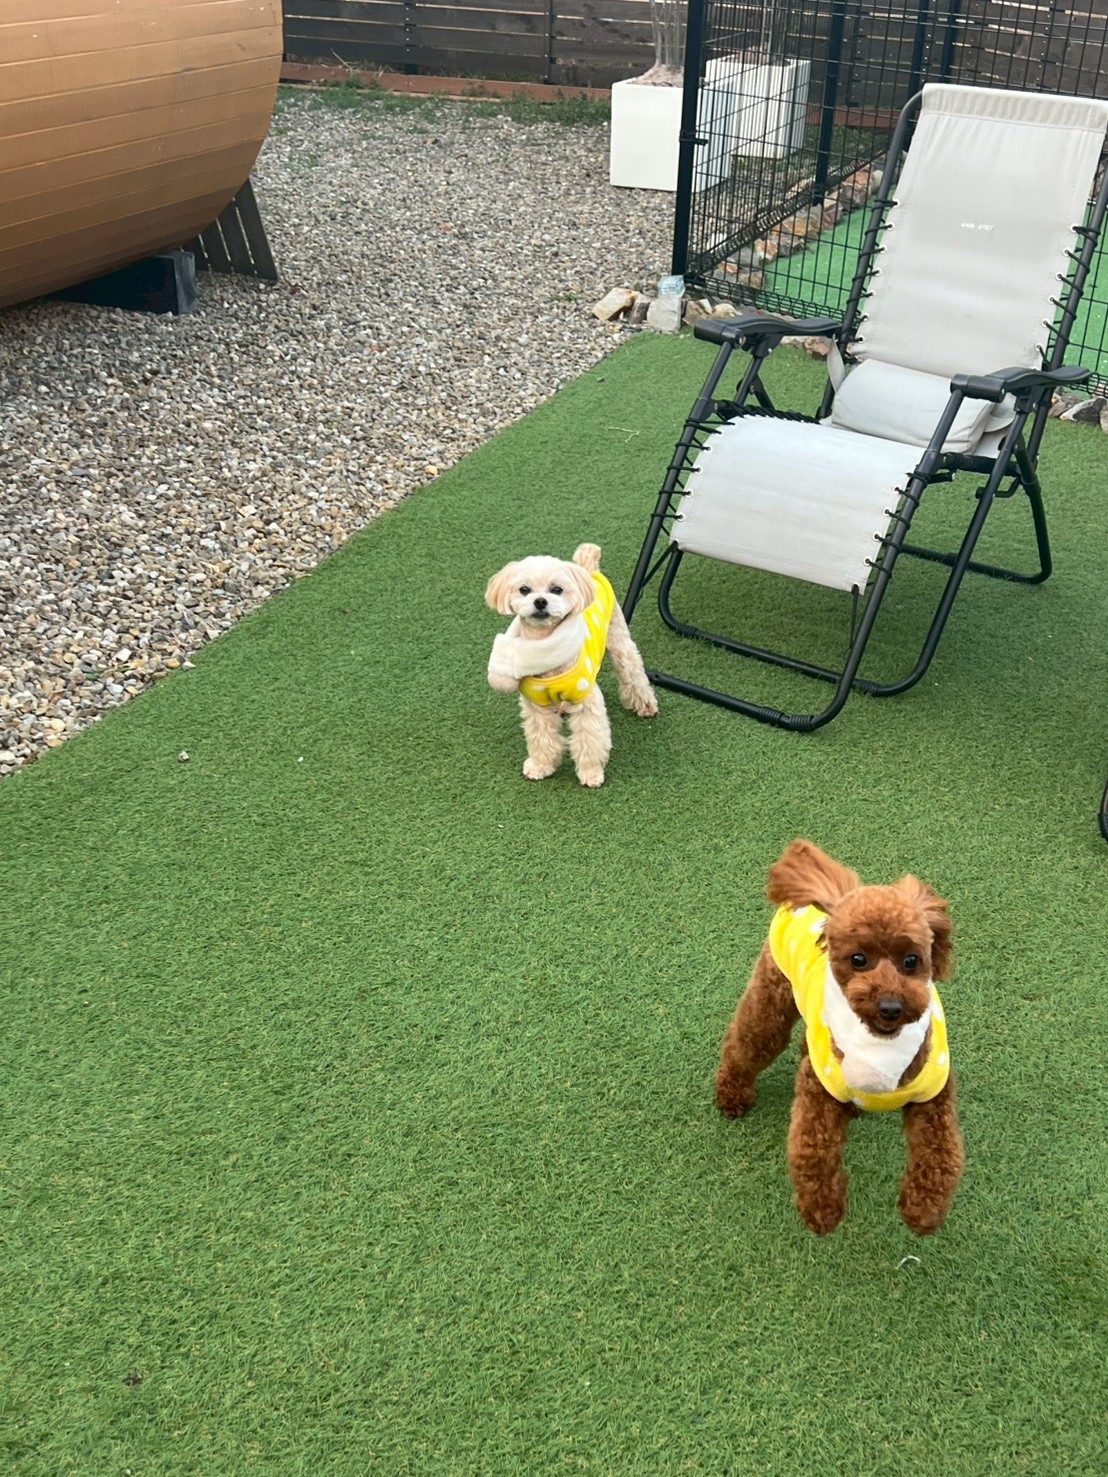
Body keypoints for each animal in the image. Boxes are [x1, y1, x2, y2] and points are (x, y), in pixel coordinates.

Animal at [484, 543, 657, 786]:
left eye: (557, 589)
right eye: (524, 590)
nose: (540, 601)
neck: (545, 649)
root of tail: (588, 569)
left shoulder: (587, 701)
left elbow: (590, 739)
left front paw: (591, 773)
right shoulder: (536, 705)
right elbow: (541, 738)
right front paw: (540, 766)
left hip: (619, 640)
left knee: (634, 674)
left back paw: (646, 705)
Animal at [715, 839, 964, 1236]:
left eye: (911, 960)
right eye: (858, 959)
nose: (890, 1006)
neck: (881, 1049)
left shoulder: (934, 1095)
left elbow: (942, 1155)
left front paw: (923, 1210)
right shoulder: (819, 1091)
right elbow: (811, 1151)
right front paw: (822, 1210)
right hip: (771, 999)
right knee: (748, 1041)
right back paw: (730, 1094)